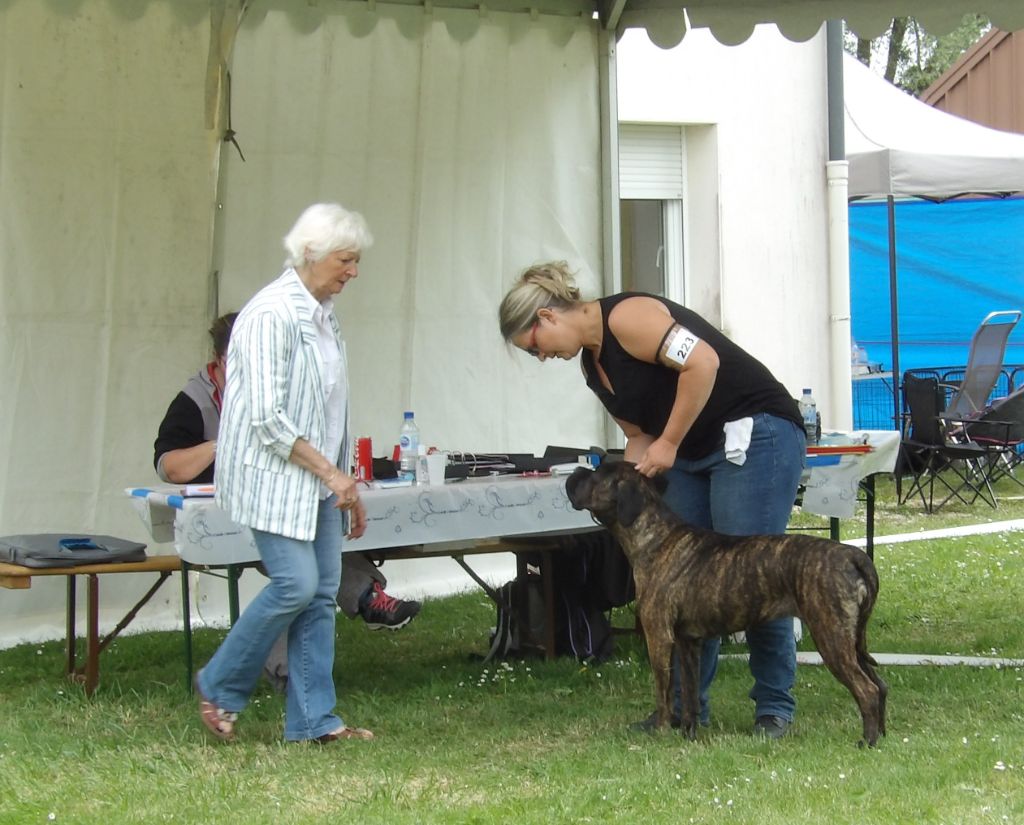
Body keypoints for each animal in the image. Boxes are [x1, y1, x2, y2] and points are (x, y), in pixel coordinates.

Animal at [565, 464, 884, 749]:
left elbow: (663, 691)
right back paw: (882, 736)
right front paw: (689, 734)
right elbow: (690, 694)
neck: (654, 537)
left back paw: (867, 742)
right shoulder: (688, 643)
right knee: (879, 685)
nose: (575, 472)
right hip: (852, 641)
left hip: (832, 637)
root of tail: (853, 556)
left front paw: (661, 730)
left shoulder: (659, 638)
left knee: (867, 690)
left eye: (595, 476)